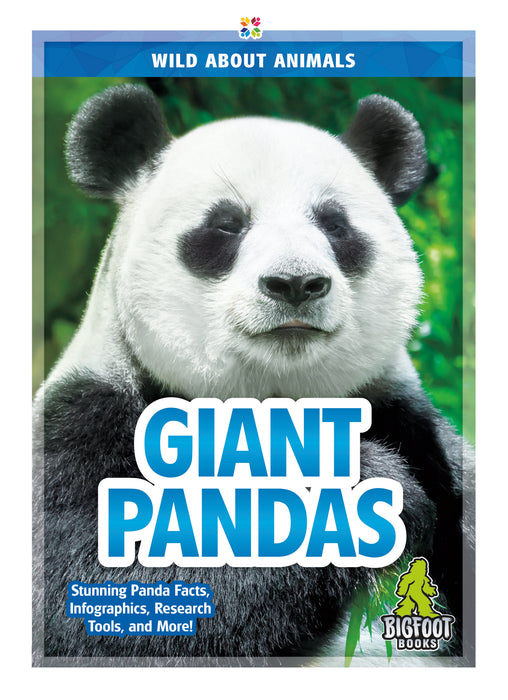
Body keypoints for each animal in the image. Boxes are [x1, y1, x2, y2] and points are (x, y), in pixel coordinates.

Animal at [33, 84, 473, 664]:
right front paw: (361, 490)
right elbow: (104, 601)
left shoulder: (413, 427)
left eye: (334, 225)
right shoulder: (84, 426)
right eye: (227, 224)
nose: (296, 283)